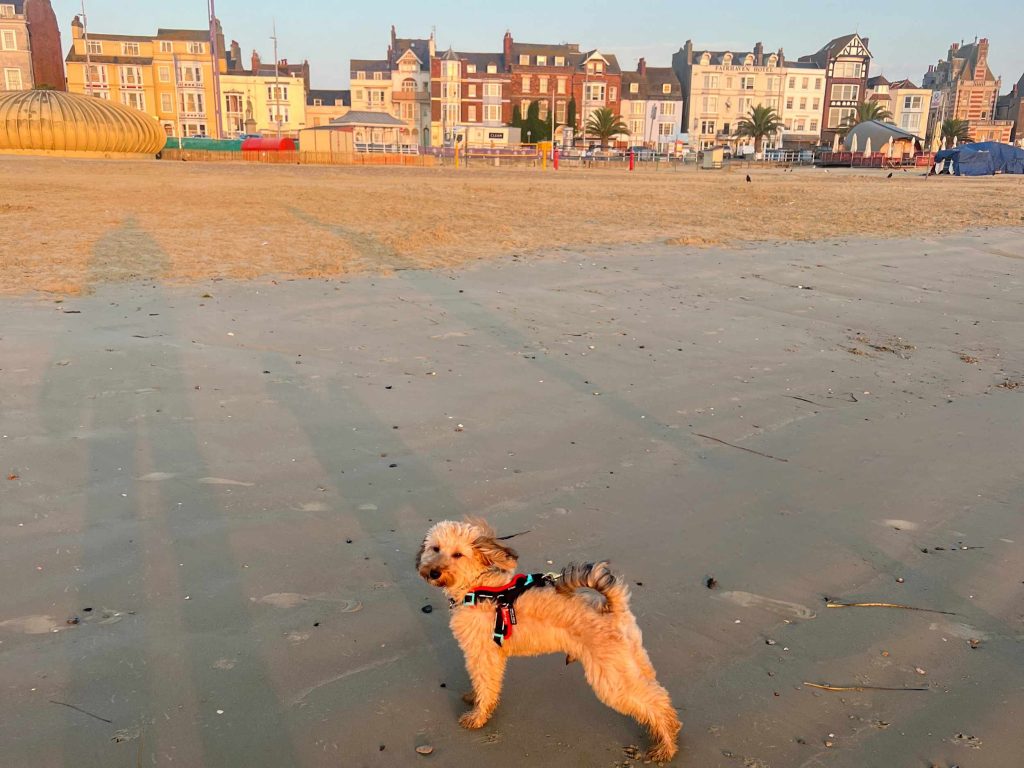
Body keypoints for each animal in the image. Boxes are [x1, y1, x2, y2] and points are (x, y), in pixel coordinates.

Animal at [415, 520, 679, 761]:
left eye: (458, 554)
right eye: (435, 548)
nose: (433, 572)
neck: (478, 588)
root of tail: (612, 607)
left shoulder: (484, 654)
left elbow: (485, 685)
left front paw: (477, 716)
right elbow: (480, 683)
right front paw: (474, 698)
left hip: (611, 679)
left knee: (651, 703)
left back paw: (665, 746)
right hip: (631, 662)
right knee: (659, 695)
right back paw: (670, 730)